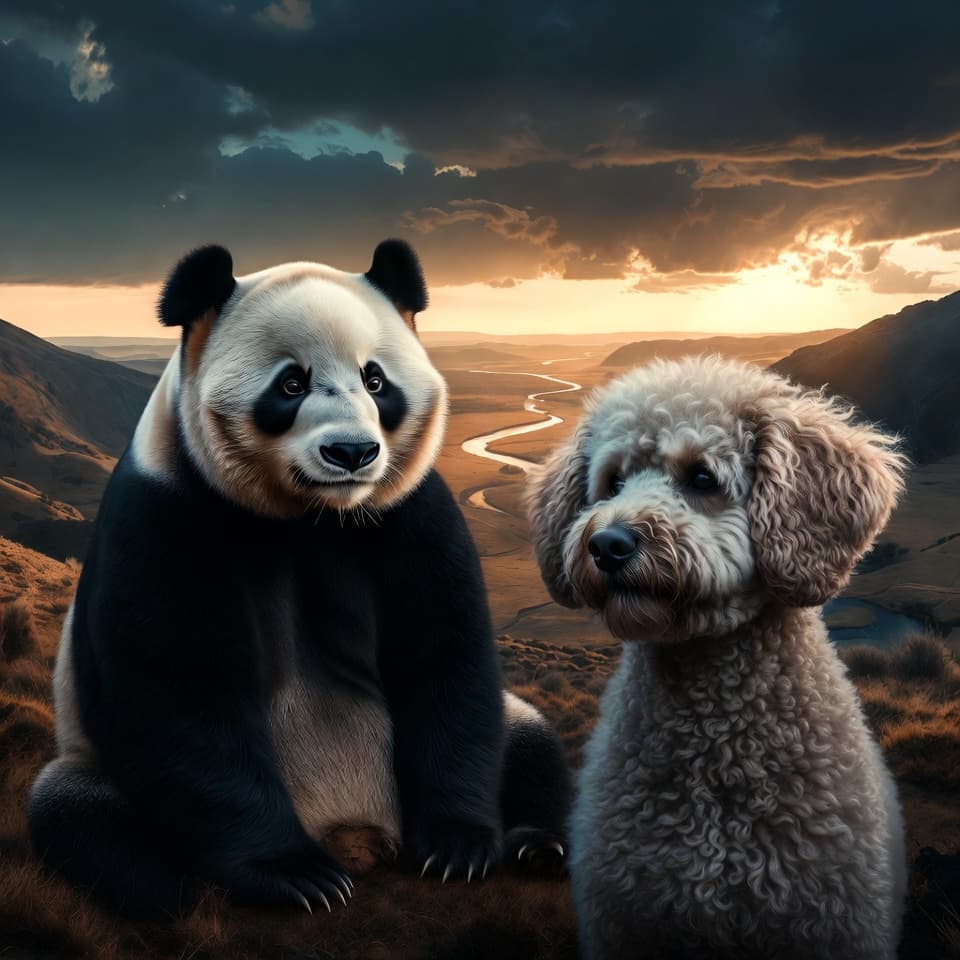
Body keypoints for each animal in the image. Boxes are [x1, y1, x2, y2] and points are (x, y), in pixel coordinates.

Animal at [28, 240, 571, 918]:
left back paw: (538, 845)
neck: (312, 517)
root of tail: (357, 835)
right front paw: (294, 875)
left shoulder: (412, 512)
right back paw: (170, 888)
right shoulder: (163, 513)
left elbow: (445, 658)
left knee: (528, 737)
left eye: (375, 380)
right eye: (291, 383)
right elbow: (180, 695)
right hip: (88, 764)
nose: (352, 453)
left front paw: (456, 848)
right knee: (78, 812)